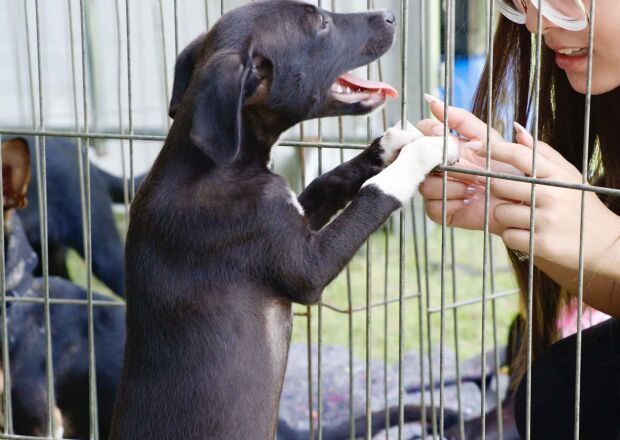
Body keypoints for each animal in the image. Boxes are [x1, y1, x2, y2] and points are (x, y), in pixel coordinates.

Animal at [110, 1, 460, 438]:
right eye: (322, 23)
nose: (390, 16)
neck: (214, 164)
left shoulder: (295, 215)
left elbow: (332, 178)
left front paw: (393, 142)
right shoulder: (304, 264)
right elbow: (375, 193)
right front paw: (426, 150)